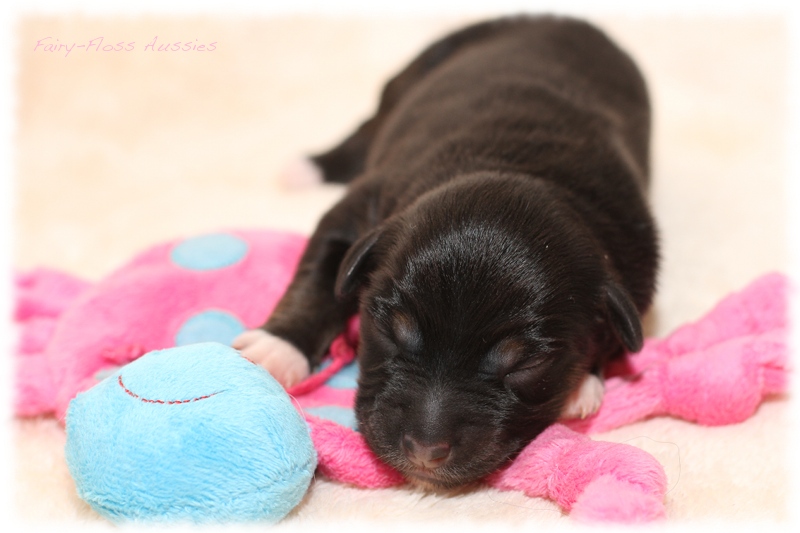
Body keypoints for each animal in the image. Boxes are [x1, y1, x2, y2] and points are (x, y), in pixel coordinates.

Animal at [234, 15, 660, 490]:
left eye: (525, 363)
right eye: (394, 330)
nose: (424, 453)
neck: (520, 169)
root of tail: (559, 19)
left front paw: (583, 381)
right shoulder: (360, 209)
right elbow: (320, 277)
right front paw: (277, 348)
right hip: (406, 80)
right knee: (367, 128)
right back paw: (309, 167)